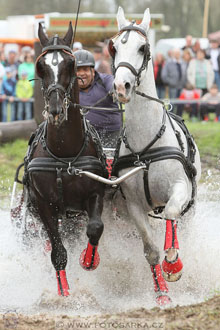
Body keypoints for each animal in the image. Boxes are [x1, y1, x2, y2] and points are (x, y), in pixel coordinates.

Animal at [24, 23, 107, 296]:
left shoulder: (96, 193)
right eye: (41, 65)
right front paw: (65, 294)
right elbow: (58, 252)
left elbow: (95, 228)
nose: (56, 108)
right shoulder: (44, 205)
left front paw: (89, 260)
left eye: (70, 64)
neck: (64, 155)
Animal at [110, 7, 201, 306]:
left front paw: (173, 262)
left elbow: (172, 214)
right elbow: (150, 250)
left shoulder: (180, 188)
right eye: (114, 47)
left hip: (191, 206)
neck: (145, 151)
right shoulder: (134, 206)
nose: (121, 86)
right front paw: (161, 294)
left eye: (143, 47)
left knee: (178, 223)